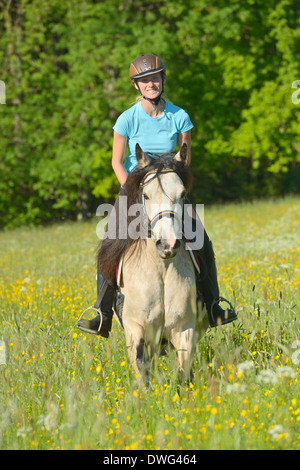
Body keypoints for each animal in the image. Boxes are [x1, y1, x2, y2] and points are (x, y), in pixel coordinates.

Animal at [97, 144, 207, 386]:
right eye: (146, 195)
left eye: (183, 194)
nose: (167, 244)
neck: (161, 267)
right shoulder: (135, 328)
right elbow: (142, 370)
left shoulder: (185, 329)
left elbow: (184, 376)